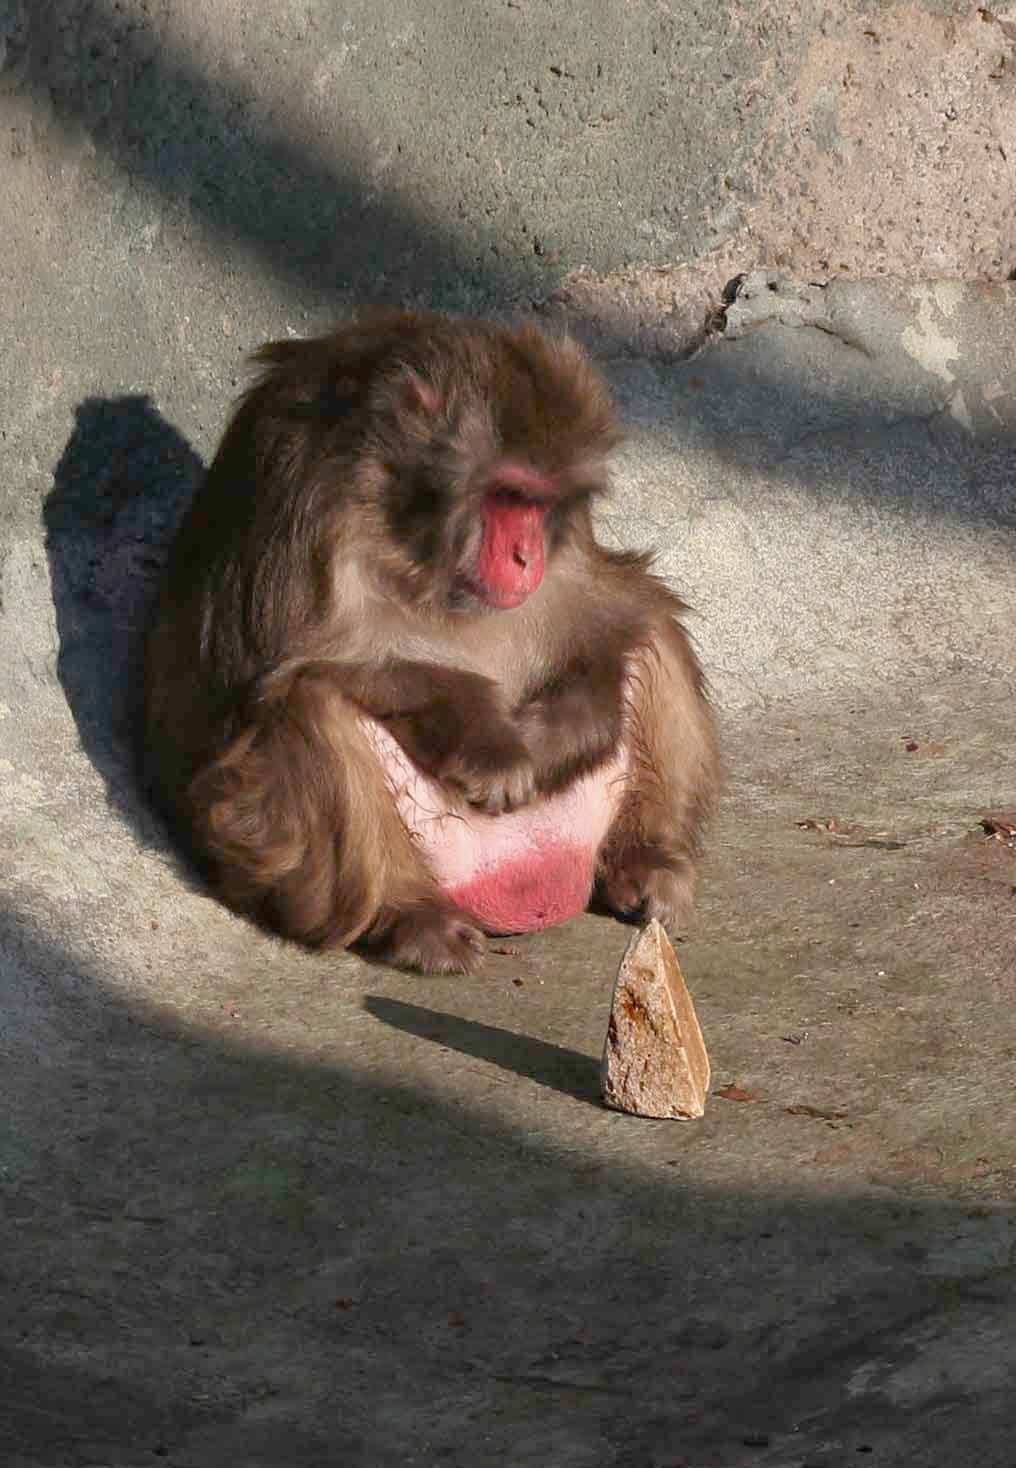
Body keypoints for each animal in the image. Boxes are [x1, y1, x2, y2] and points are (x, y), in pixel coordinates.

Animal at [143, 311, 718, 974]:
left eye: (542, 501)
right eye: (507, 494)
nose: (526, 556)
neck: (404, 521)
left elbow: (604, 607)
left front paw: (571, 726)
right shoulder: (303, 493)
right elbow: (309, 661)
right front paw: (490, 745)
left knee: (651, 626)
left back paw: (646, 860)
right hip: (263, 849)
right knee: (306, 707)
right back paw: (408, 915)